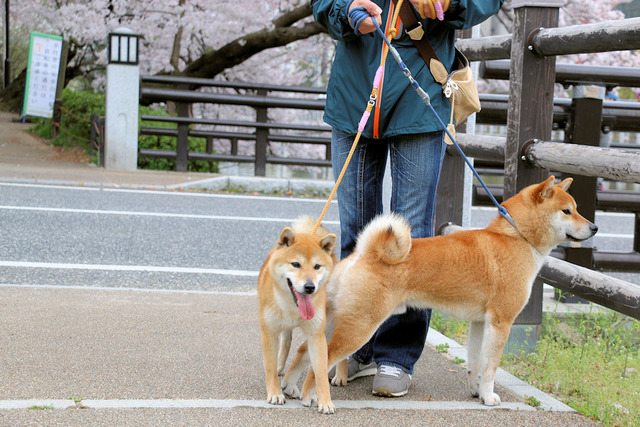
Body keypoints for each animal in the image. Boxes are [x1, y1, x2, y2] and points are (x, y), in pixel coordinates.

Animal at [258, 217, 338, 414]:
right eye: (296, 264)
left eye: (317, 267)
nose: (310, 287)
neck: (292, 308)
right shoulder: (268, 332)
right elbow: (269, 367)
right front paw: (274, 393)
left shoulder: (316, 335)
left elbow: (320, 372)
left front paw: (325, 400)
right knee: (285, 343)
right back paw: (281, 370)